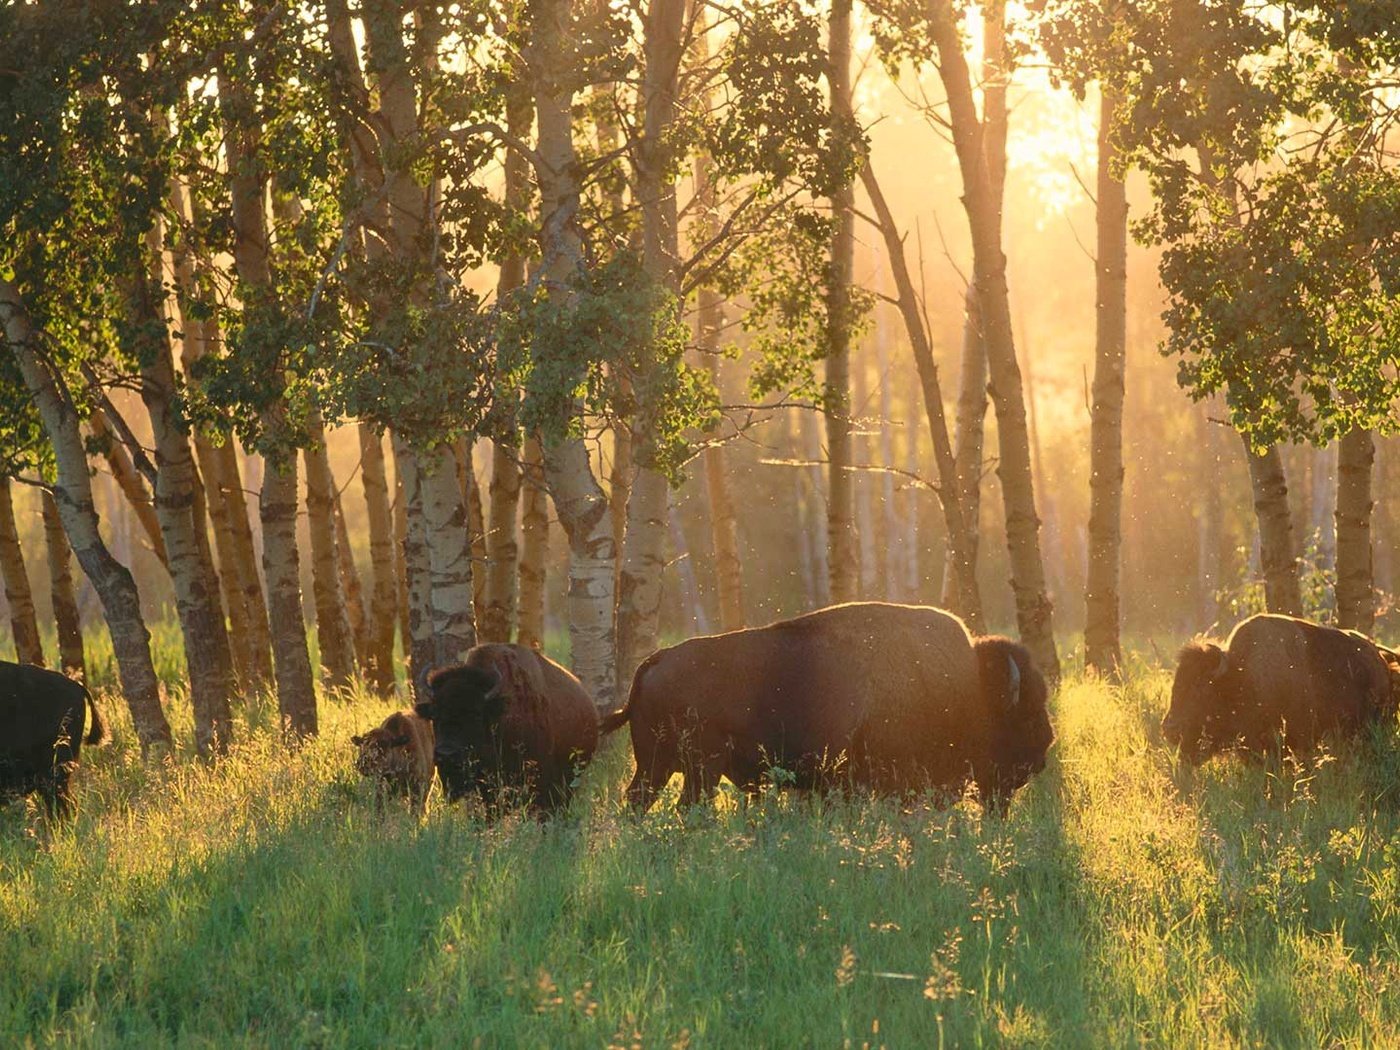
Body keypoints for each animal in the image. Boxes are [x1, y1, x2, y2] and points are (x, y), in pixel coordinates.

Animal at [599, 599, 1052, 812]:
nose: (1043, 753)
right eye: (1026, 715)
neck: (969, 688)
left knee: (637, 803)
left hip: (656, 766)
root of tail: (655, 660)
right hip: (699, 770)